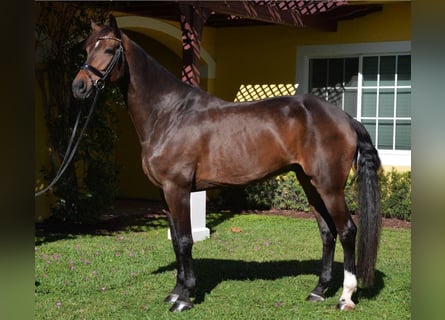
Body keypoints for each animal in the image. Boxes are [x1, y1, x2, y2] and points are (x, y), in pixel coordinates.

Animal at [73, 16, 382, 312]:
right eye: (86, 48)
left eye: (109, 50)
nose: (79, 86)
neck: (170, 114)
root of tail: (345, 118)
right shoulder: (164, 193)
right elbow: (175, 241)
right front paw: (175, 291)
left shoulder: (178, 189)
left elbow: (185, 240)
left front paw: (185, 297)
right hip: (309, 183)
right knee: (327, 232)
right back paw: (318, 291)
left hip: (329, 187)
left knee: (347, 231)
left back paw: (345, 297)